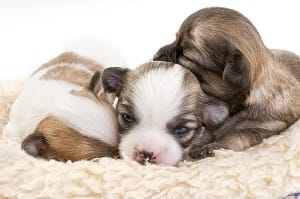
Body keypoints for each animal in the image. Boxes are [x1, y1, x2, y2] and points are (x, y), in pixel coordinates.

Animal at [154, 6, 300, 159]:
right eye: (175, 38)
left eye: (184, 53)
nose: (155, 55)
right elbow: (206, 134)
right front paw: (197, 144)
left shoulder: (267, 127)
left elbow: (234, 136)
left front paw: (209, 147)